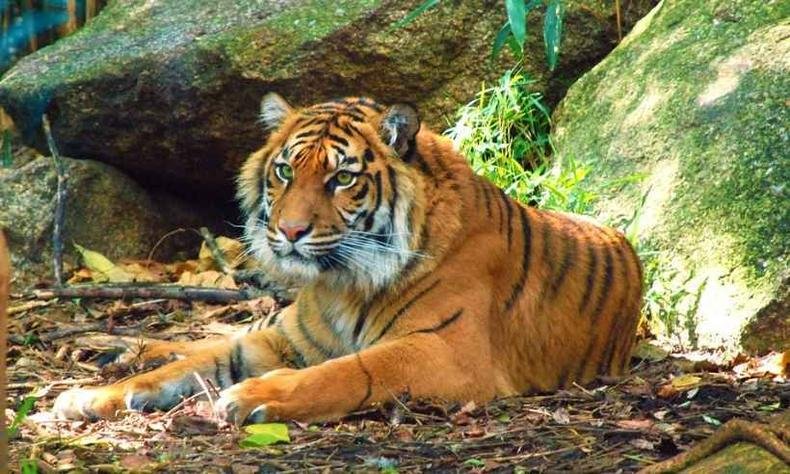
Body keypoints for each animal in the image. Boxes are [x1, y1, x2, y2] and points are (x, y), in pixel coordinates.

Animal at [54, 94, 643, 424]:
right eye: (285, 171)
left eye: (341, 178)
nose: (289, 231)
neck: (342, 281)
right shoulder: (285, 339)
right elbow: (191, 364)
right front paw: (88, 397)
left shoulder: (447, 352)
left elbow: (347, 371)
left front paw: (254, 396)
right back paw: (118, 350)